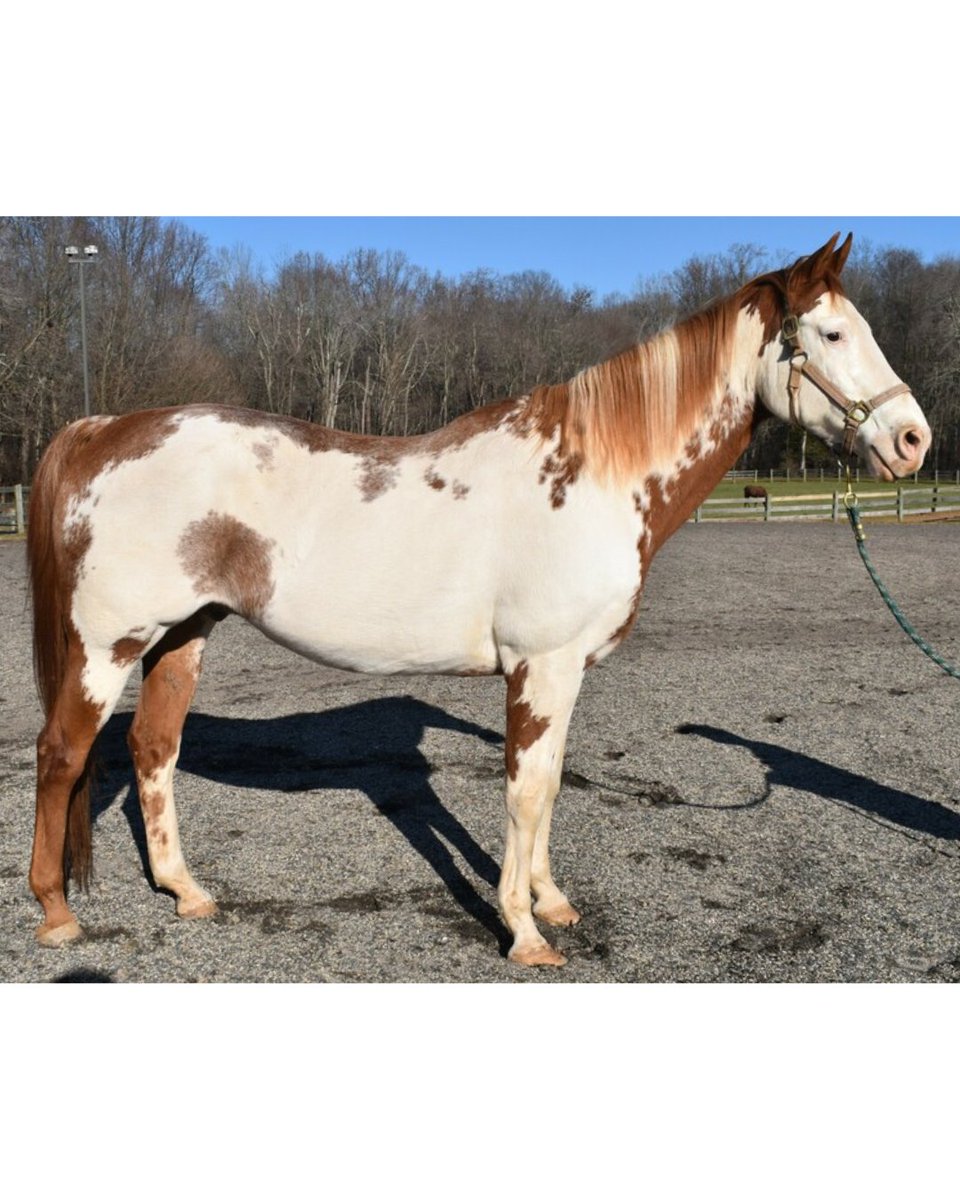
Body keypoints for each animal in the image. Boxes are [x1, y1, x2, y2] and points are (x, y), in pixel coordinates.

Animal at [25, 233, 931, 967]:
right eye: (832, 333)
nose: (913, 440)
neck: (592, 478)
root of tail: (103, 427)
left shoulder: (565, 672)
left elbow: (552, 785)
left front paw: (553, 903)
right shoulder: (540, 666)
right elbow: (524, 792)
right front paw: (523, 932)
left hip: (184, 633)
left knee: (153, 749)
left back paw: (188, 892)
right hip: (109, 645)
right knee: (63, 754)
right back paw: (57, 914)